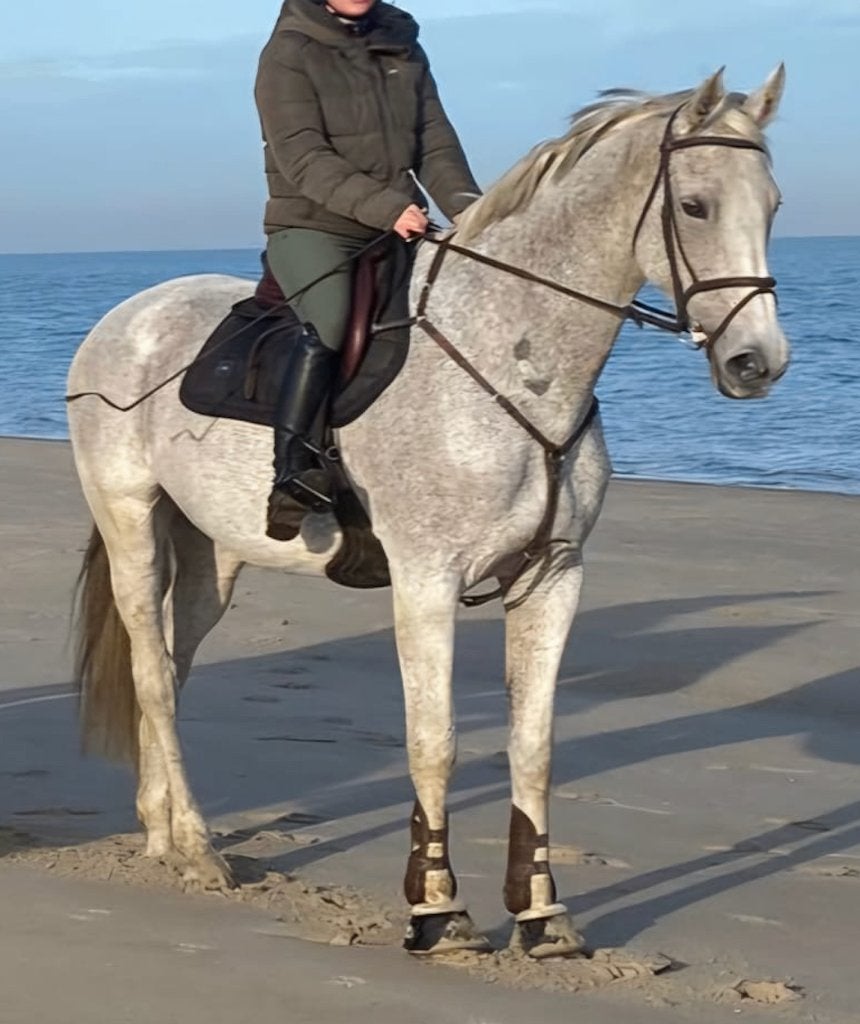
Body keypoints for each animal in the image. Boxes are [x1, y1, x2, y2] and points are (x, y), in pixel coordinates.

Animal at [67, 68, 790, 957]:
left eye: (775, 203)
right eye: (694, 205)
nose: (758, 363)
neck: (516, 361)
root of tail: (125, 318)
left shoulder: (554, 578)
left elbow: (534, 746)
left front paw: (541, 915)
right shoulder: (425, 583)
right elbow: (434, 740)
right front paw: (436, 909)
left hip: (212, 557)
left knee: (167, 666)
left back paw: (164, 833)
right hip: (132, 525)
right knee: (152, 672)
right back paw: (199, 848)